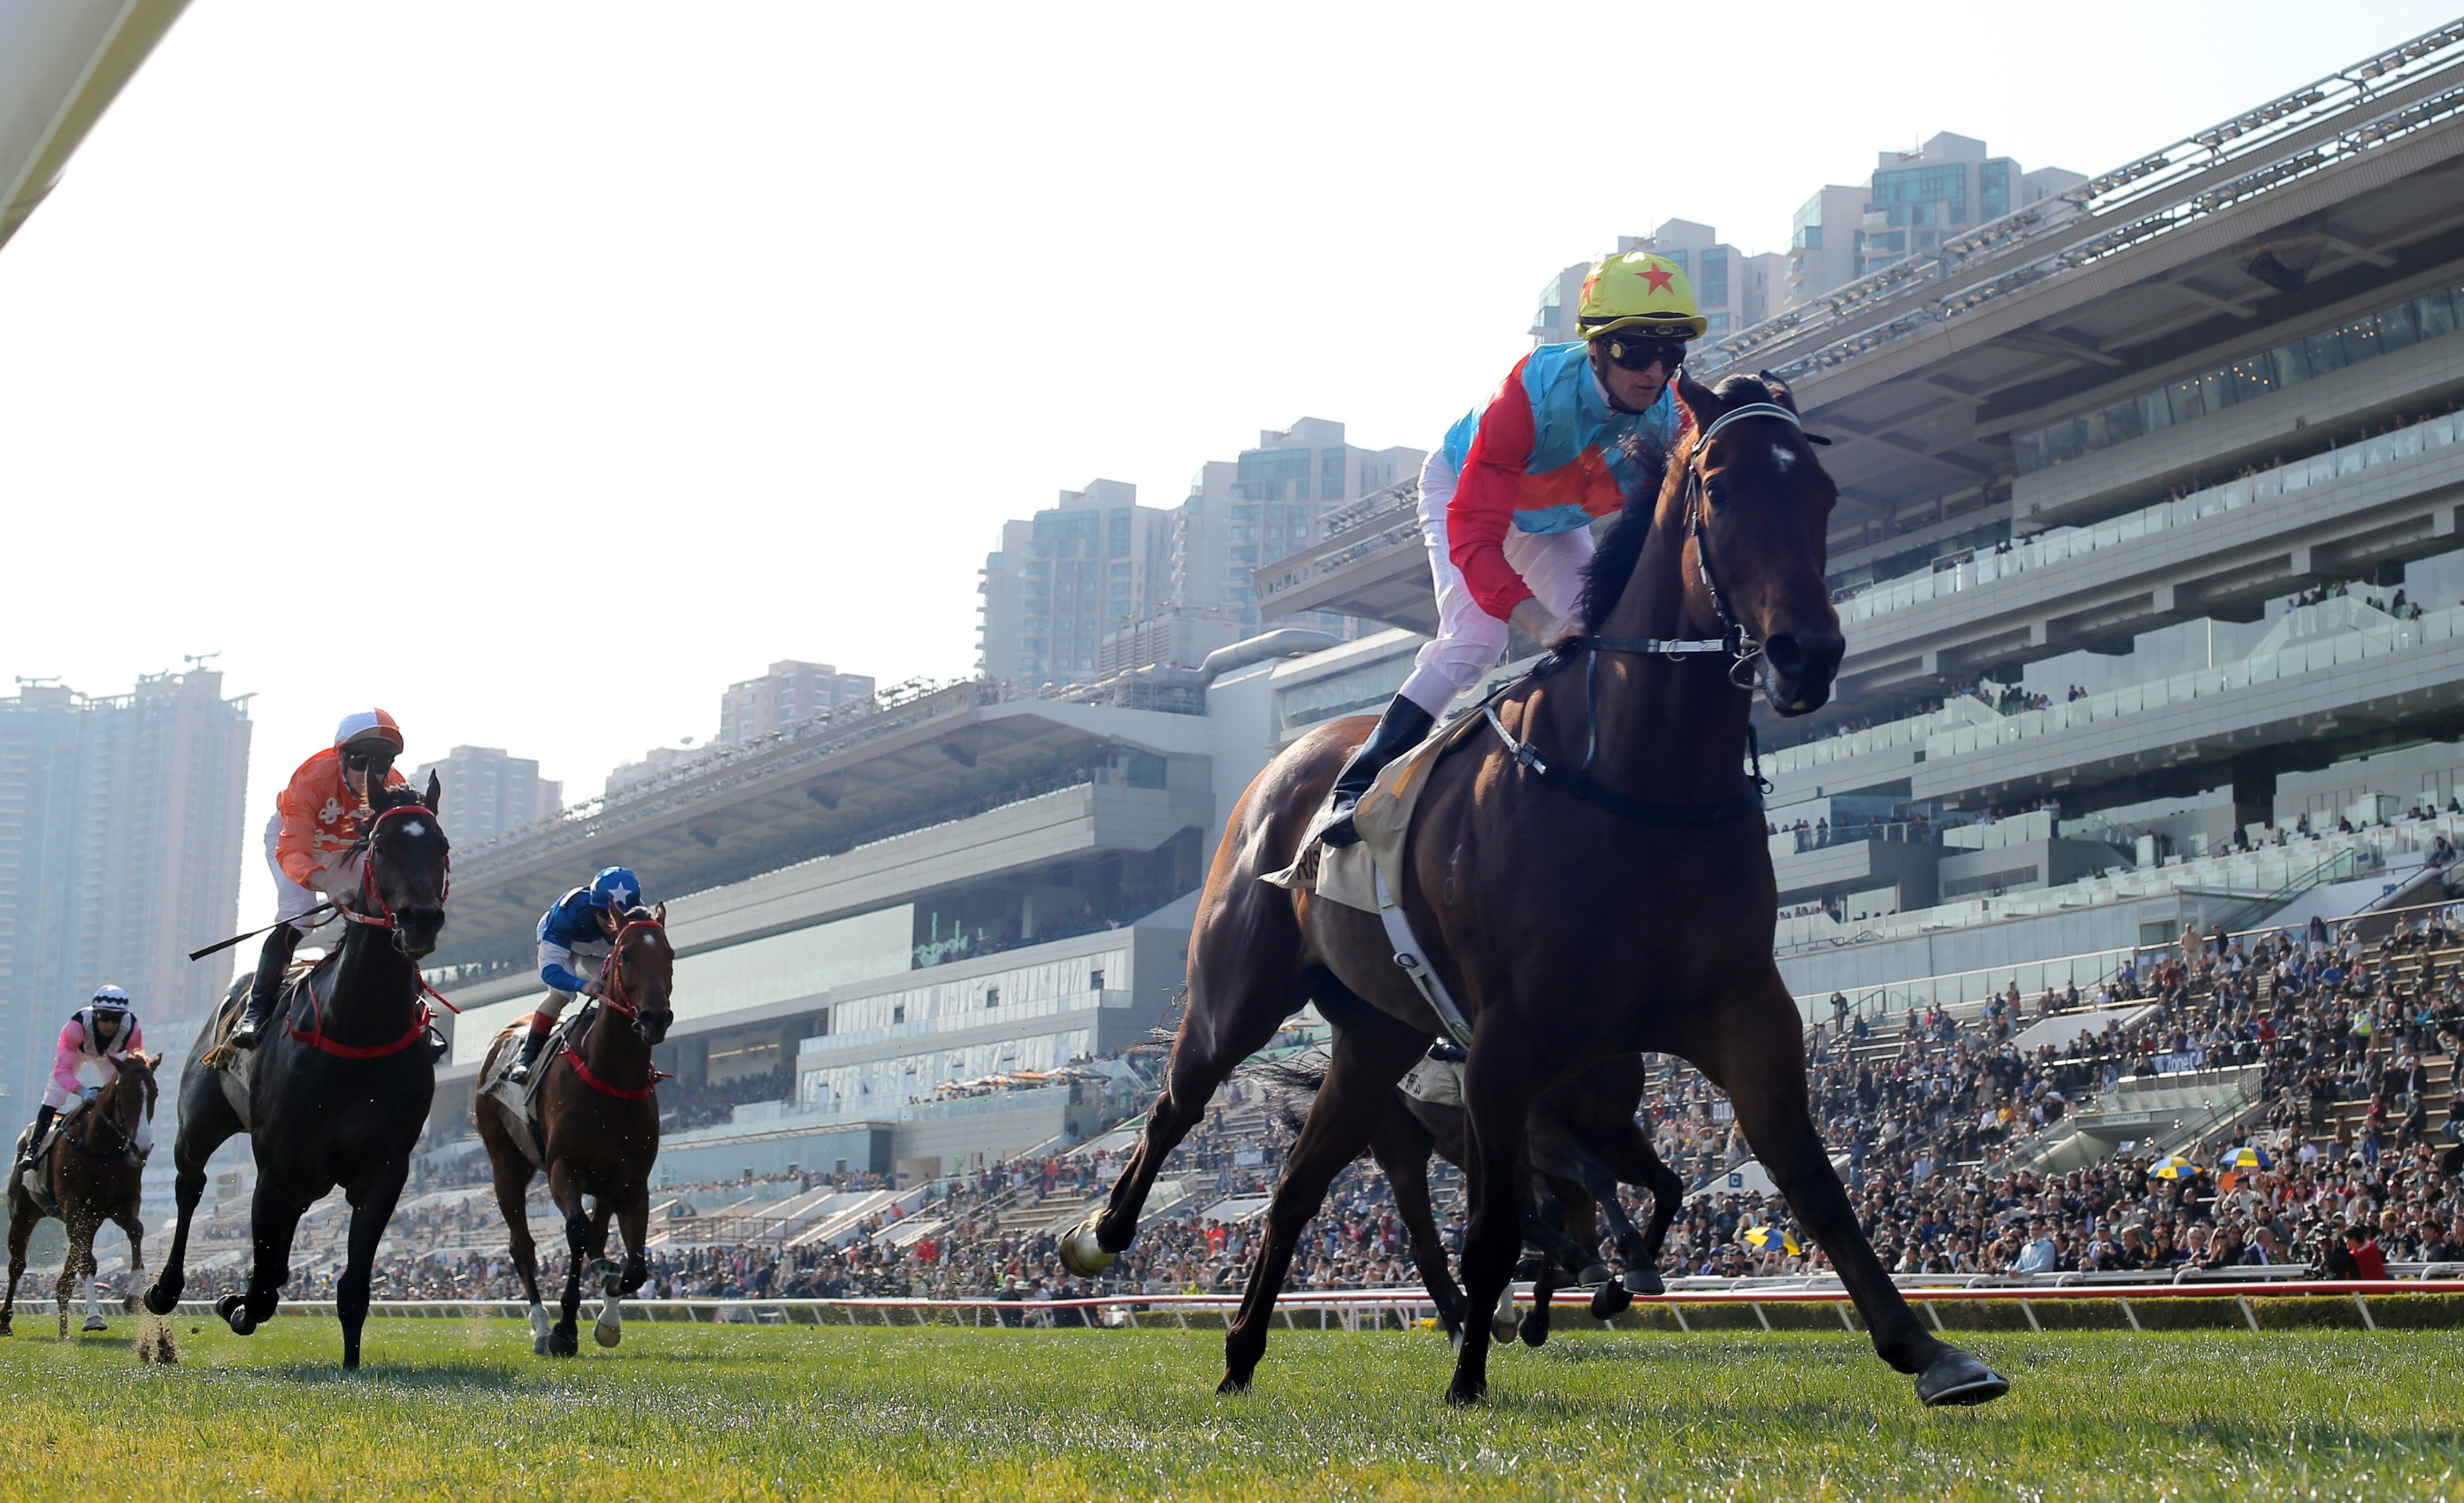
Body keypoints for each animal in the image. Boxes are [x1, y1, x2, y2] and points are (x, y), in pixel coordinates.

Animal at [145, 779, 453, 1360]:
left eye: (441, 845)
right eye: (382, 846)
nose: (419, 921)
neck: (356, 1031)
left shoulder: (386, 1171)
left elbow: (352, 1287)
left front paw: (350, 1363)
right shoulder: (276, 1168)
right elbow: (263, 1281)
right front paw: (235, 1303)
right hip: (199, 1124)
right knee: (189, 1187)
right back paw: (165, 1288)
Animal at [475, 906, 670, 1350]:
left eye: (669, 954)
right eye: (626, 955)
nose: (655, 1018)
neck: (612, 1076)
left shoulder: (631, 1180)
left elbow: (635, 1266)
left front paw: (608, 1312)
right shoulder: (565, 1165)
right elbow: (577, 1232)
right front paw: (564, 1329)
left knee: (599, 1240)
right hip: (505, 1163)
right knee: (522, 1246)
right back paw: (541, 1325)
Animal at [1059, 369, 2001, 1400]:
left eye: (1822, 495)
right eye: (1719, 491)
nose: (1806, 653)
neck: (1637, 783)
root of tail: (1286, 757)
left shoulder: (1743, 1009)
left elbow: (1806, 1177)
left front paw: (1927, 1350)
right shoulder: (1506, 1047)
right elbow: (1497, 1223)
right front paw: (1471, 1376)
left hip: (1375, 1040)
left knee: (1295, 1187)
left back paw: (1239, 1352)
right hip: (1238, 993)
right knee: (1178, 1104)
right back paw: (1098, 1238)